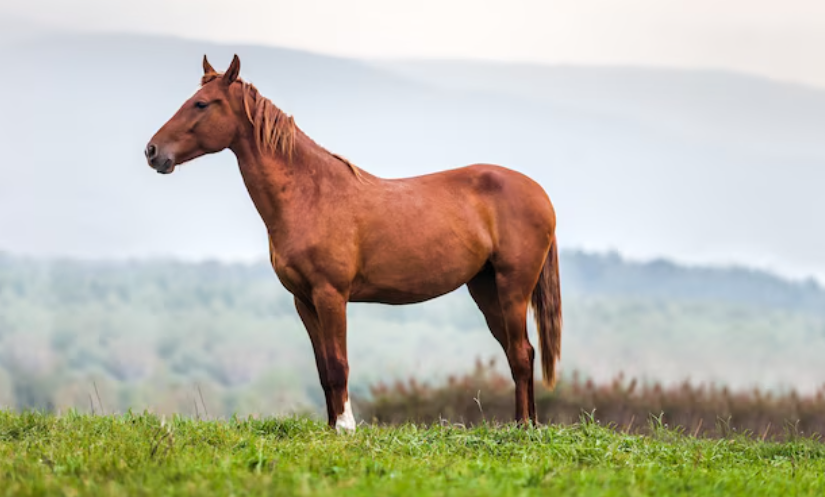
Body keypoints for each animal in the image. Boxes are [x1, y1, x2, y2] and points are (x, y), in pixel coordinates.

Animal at [145, 55, 562, 432]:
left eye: (201, 103)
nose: (152, 152)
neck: (311, 193)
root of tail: (539, 193)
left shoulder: (331, 295)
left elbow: (338, 363)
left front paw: (346, 427)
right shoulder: (304, 300)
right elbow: (322, 368)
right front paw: (332, 426)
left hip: (512, 288)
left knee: (521, 354)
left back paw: (523, 427)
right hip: (486, 288)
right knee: (519, 353)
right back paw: (527, 425)